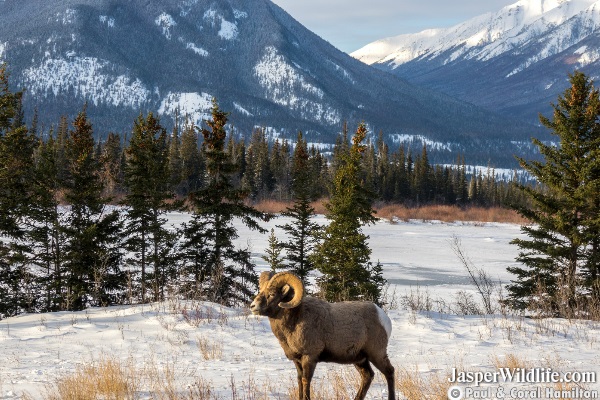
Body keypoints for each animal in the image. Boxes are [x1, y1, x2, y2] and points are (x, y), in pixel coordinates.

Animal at [247, 270, 394, 398]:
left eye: (272, 294)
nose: (253, 306)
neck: (294, 322)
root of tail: (382, 316)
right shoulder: (297, 360)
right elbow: (300, 382)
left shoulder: (309, 357)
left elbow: (306, 382)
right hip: (360, 359)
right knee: (367, 376)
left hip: (376, 354)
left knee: (389, 372)